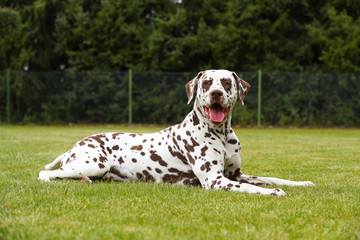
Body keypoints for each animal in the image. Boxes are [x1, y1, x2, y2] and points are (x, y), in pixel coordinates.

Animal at [39, 70, 314, 197]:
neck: (221, 135)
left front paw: (302, 183)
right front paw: (274, 193)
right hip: (93, 163)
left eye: (226, 82)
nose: (216, 93)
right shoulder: (216, 180)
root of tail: (75, 145)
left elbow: (273, 178)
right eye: (206, 83)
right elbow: (253, 188)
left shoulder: (235, 175)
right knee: (45, 174)